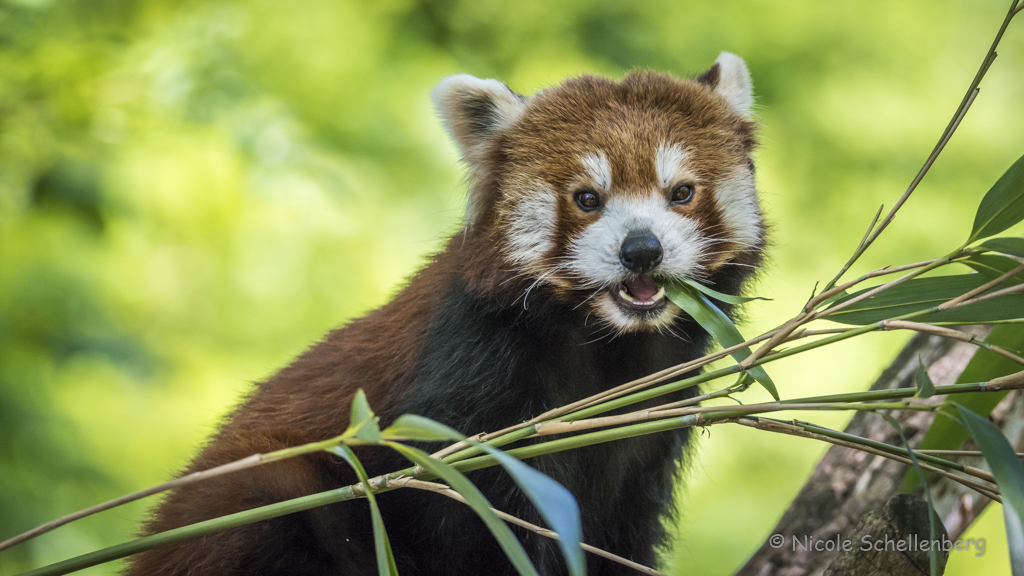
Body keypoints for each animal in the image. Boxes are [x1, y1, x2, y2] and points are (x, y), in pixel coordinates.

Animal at [128, 51, 765, 569]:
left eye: (681, 193)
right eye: (587, 198)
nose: (641, 249)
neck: (604, 342)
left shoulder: (650, 425)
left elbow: (617, 534)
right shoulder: (470, 374)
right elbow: (465, 521)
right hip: (261, 493)